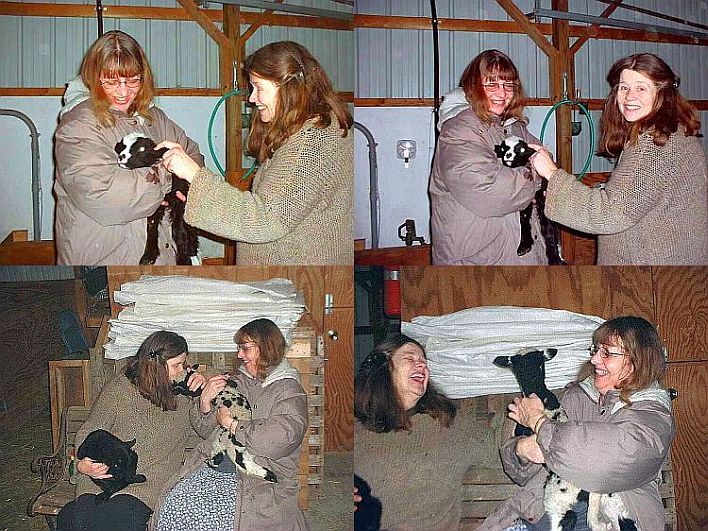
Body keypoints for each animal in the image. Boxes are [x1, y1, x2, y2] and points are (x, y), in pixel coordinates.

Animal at [115, 133, 199, 266]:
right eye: (122, 147)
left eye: (141, 150)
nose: (121, 157)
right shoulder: (154, 205)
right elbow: (152, 227)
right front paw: (148, 257)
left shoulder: (180, 200)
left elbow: (179, 232)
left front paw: (183, 260)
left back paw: (191, 250)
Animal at [492, 135, 564, 264]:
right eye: (504, 148)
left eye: (521, 150)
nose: (508, 155)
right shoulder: (525, 202)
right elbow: (524, 220)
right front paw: (524, 245)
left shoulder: (542, 197)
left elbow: (548, 229)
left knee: (548, 230)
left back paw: (555, 259)